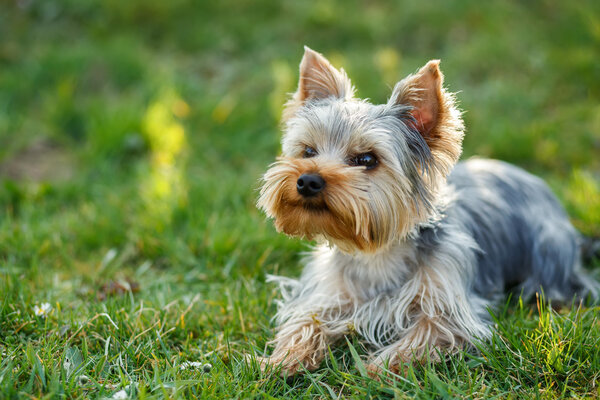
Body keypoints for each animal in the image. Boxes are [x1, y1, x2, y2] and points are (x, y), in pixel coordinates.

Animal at [255, 46, 596, 376]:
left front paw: (377, 369)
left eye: (366, 160)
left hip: (548, 250)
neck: (376, 252)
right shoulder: (329, 292)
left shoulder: (451, 309)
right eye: (308, 151)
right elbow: (306, 320)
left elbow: (428, 332)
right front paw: (280, 360)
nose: (307, 181)